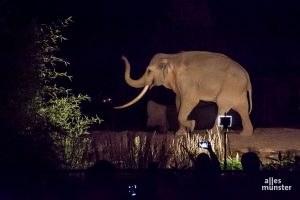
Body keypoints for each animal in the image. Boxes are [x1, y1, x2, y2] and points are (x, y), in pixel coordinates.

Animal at [115, 50, 253, 137]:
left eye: (149, 71)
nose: (121, 57)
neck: (171, 57)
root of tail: (247, 76)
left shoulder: (186, 80)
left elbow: (191, 100)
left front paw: (192, 125)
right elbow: (178, 102)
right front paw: (180, 134)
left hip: (230, 87)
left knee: (223, 106)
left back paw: (212, 133)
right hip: (237, 90)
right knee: (242, 108)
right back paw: (245, 134)